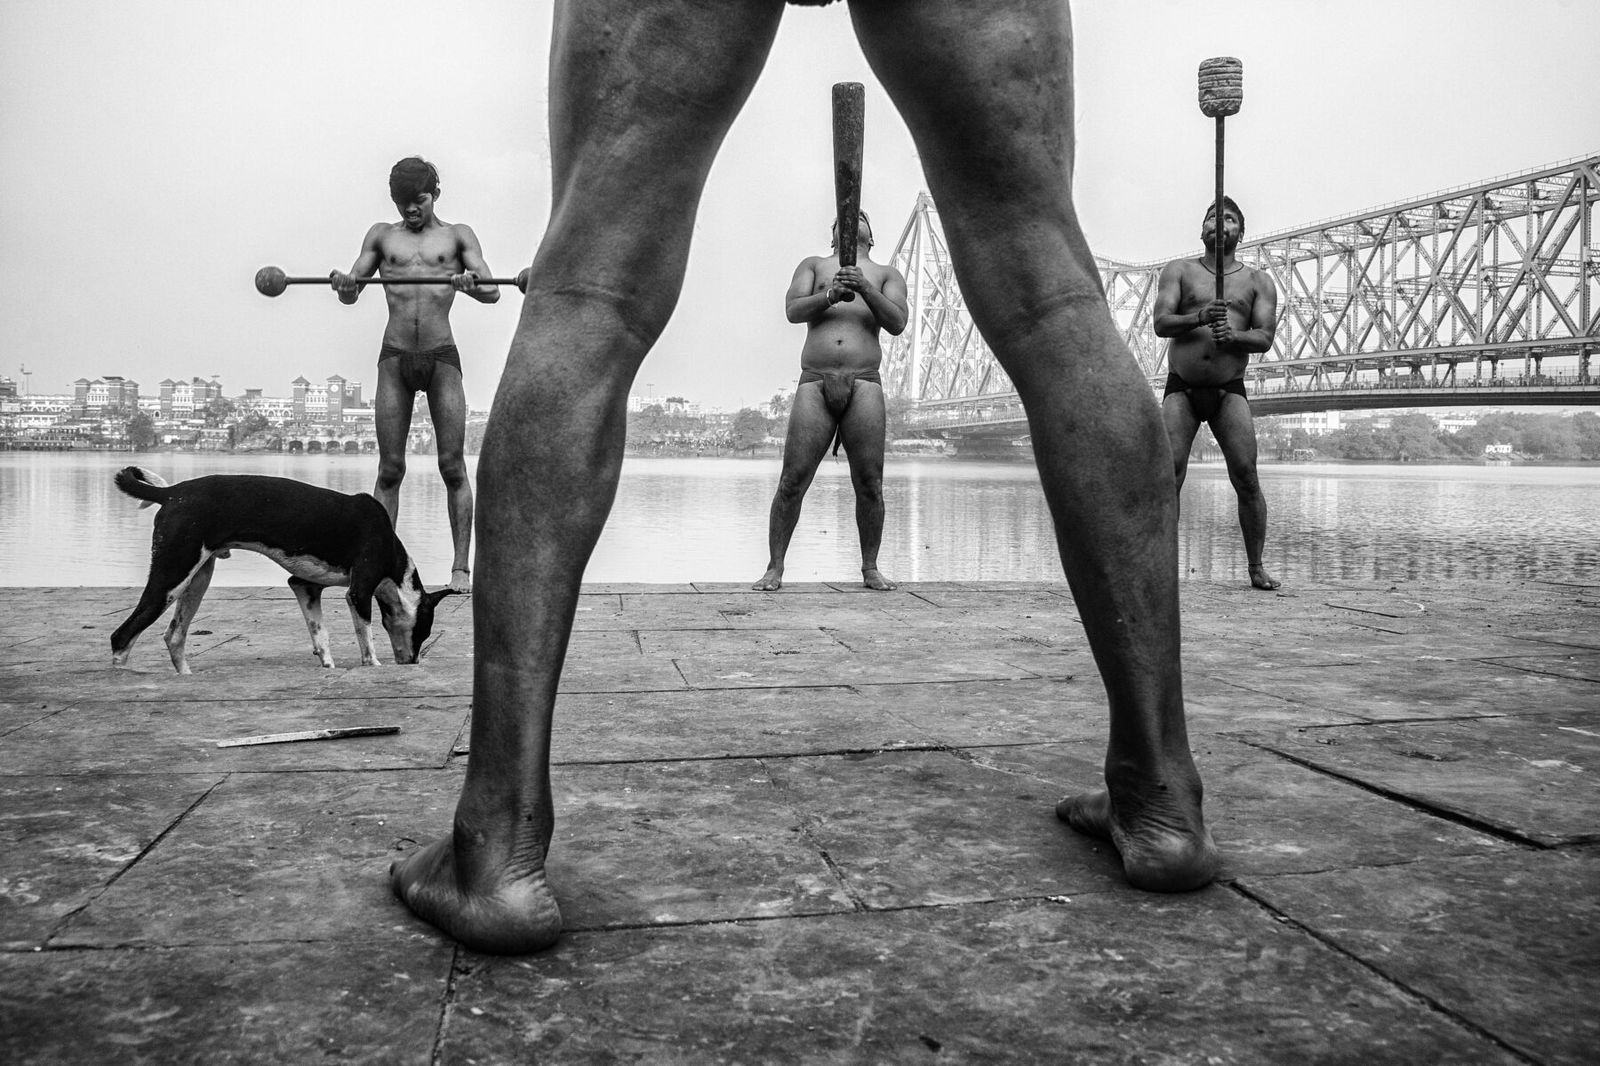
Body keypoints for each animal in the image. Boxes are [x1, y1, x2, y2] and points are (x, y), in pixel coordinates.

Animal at [111, 467, 457, 672]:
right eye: (424, 631)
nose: (412, 662)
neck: (395, 561)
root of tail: (171, 492)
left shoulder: (305, 586)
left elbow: (320, 634)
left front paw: (327, 665)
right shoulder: (359, 592)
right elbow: (366, 639)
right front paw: (373, 665)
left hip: (197, 579)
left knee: (174, 635)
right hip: (172, 576)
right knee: (122, 636)